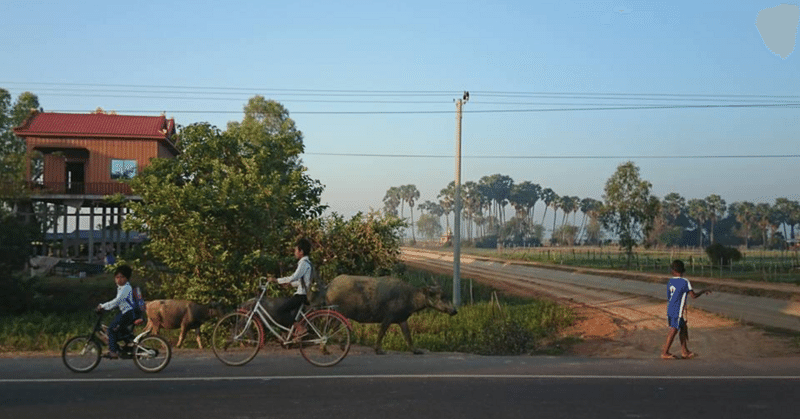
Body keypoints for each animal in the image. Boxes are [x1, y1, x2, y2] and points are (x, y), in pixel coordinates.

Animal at [322, 276, 454, 354]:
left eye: (446, 295)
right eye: (442, 297)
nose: (454, 310)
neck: (410, 297)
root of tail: (329, 286)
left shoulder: (402, 319)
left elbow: (408, 336)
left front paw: (416, 350)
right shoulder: (388, 318)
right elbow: (381, 333)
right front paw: (378, 350)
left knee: (327, 326)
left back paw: (326, 348)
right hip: (340, 312)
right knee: (332, 326)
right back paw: (339, 345)